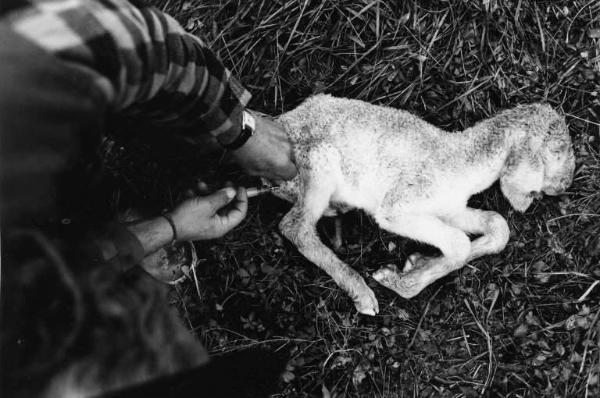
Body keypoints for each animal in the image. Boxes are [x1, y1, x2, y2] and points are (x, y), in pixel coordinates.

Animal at [270, 95, 572, 316]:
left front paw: (415, 264)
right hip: (317, 163)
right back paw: (362, 294)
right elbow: (458, 244)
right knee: (295, 227)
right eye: (557, 152)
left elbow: (498, 227)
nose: (562, 187)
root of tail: (282, 120)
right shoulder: (397, 208)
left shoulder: (451, 209)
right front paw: (397, 281)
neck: (461, 161)